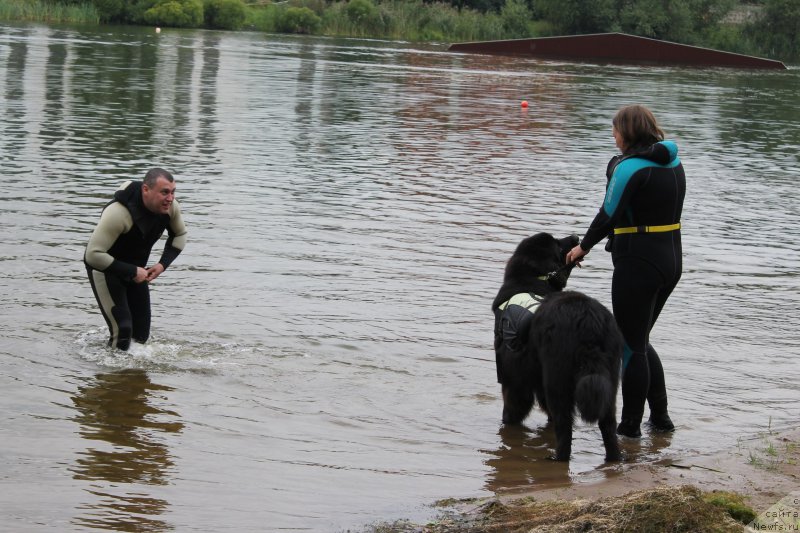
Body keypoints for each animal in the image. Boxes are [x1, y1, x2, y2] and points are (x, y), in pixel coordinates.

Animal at [490, 233, 628, 462]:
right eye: (557, 243)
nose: (576, 237)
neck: (532, 281)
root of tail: (588, 320)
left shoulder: (514, 377)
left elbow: (514, 405)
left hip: (557, 380)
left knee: (565, 425)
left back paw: (557, 458)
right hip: (609, 376)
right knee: (607, 423)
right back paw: (613, 459)